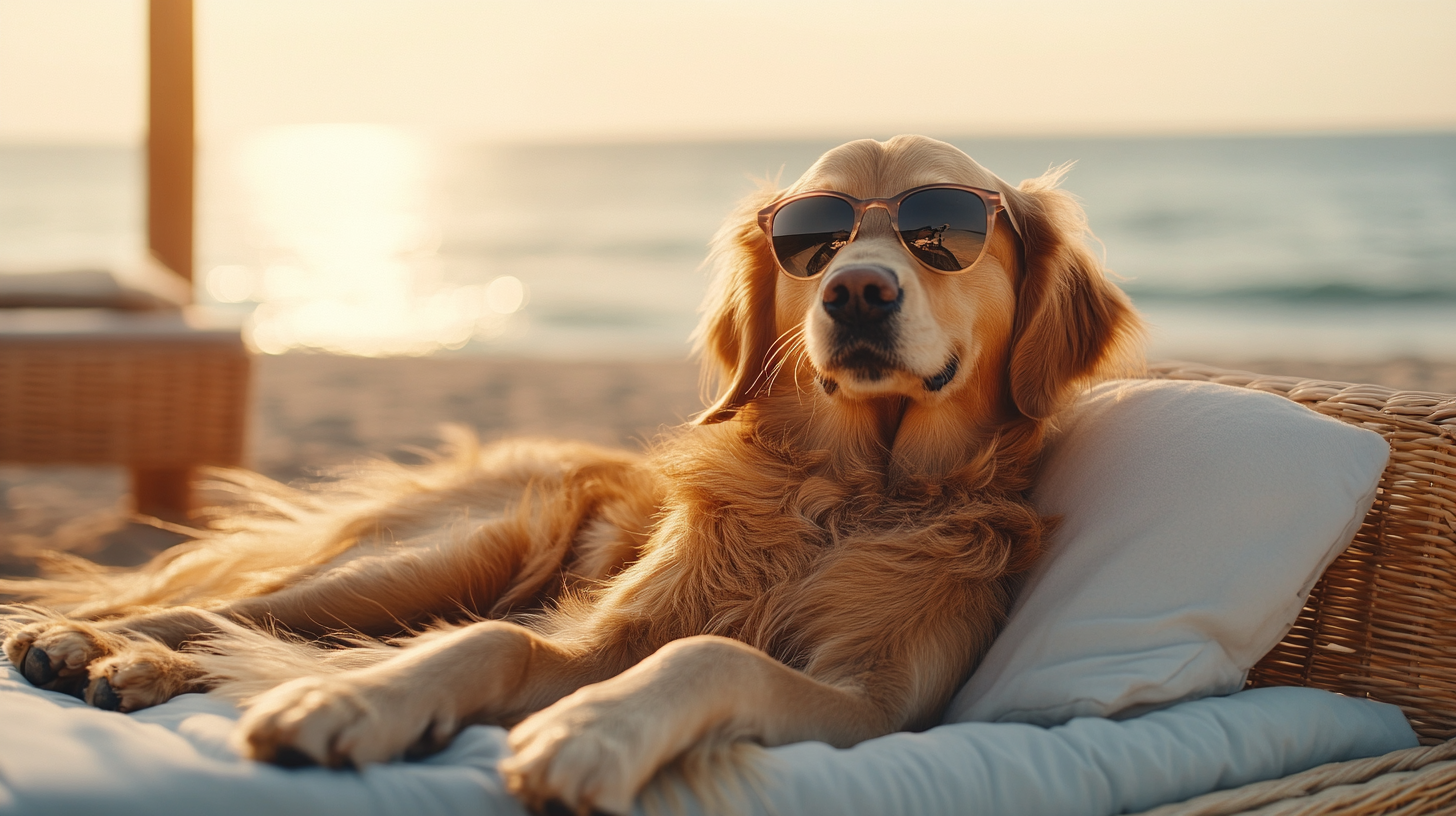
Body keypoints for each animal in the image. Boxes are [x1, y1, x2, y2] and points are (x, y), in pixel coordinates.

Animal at [0, 136, 1141, 810]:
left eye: (942, 234)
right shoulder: (603, 635)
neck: (843, 496)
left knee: (265, 637)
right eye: (808, 240)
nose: (857, 291)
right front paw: (357, 706)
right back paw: (94, 641)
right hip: (446, 551)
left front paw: (591, 733)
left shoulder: (877, 710)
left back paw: (138, 669)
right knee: (239, 610)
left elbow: (711, 657)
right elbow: (494, 641)